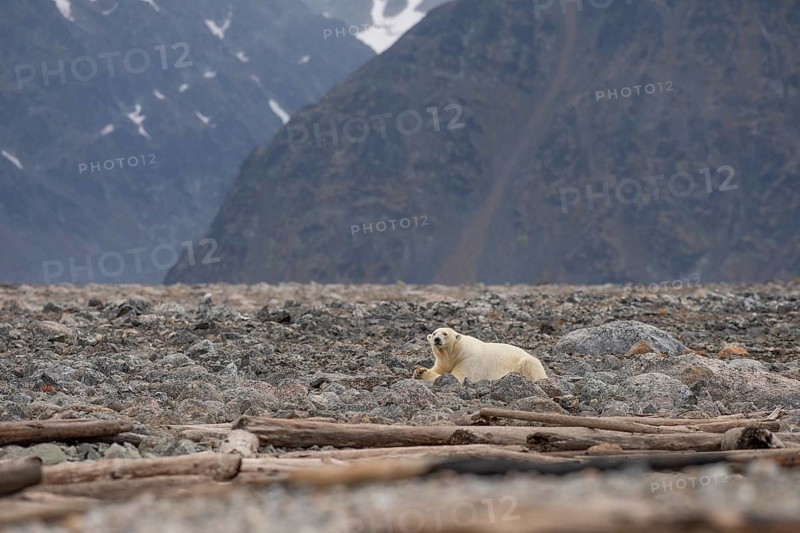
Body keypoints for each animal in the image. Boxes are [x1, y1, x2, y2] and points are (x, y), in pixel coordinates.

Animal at [412, 327, 547, 383]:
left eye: (445, 334)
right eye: (434, 333)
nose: (437, 339)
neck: (455, 352)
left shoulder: (468, 360)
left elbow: (457, 377)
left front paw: (423, 373)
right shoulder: (442, 361)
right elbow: (439, 369)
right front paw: (418, 371)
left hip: (527, 361)